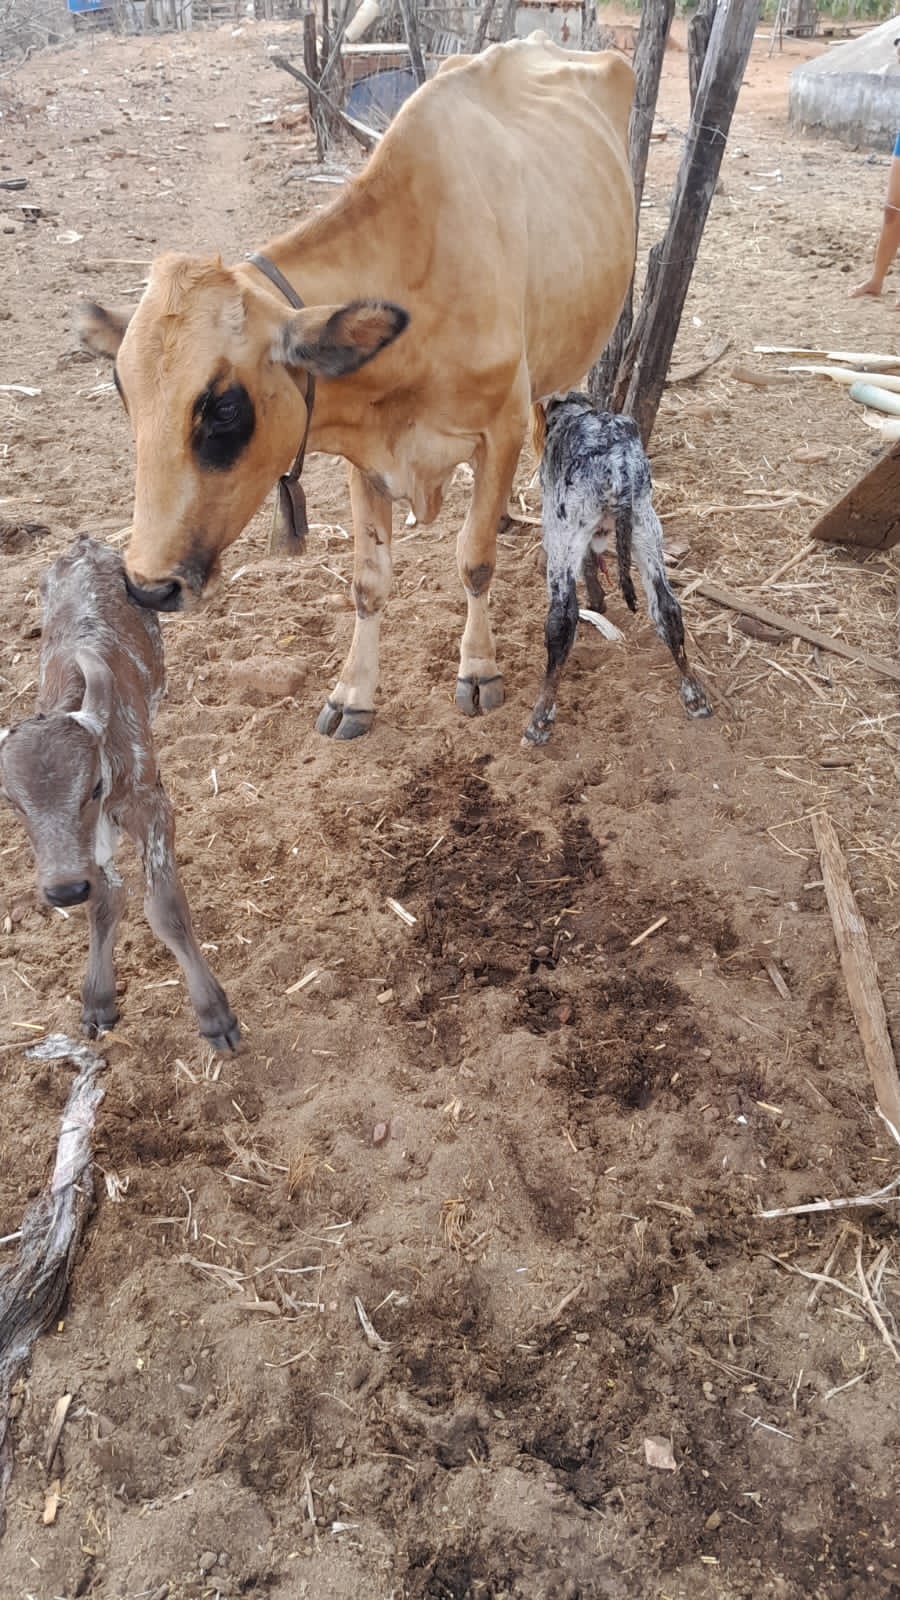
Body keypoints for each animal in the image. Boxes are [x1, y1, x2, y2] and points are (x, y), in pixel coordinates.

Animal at [0, 538, 240, 1051]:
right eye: (11, 801)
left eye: (93, 786)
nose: (64, 890)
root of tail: (84, 544)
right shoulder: (87, 844)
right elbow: (105, 899)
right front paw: (97, 1002)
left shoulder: (151, 807)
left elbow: (165, 907)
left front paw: (215, 1016)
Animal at [77, 33, 635, 739]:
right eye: (124, 394)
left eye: (225, 408)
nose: (148, 586)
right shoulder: (362, 454)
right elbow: (368, 581)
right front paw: (353, 694)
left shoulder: (498, 428)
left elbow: (474, 557)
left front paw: (478, 668)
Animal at [523, 394, 711, 745]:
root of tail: (617, 463)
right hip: (645, 524)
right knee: (667, 609)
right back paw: (695, 697)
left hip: (566, 529)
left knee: (561, 620)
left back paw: (539, 721)